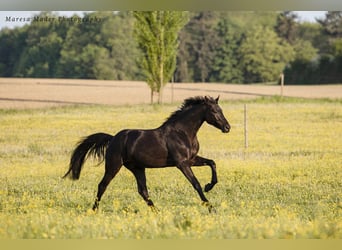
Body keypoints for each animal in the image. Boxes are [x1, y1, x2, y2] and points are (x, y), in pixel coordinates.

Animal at [63, 95, 231, 211]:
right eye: (214, 111)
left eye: (221, 110)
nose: (227, 127)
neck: (182, 132)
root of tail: (112, 139)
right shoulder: (182, 163)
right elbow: (195, 183)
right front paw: (210, 207)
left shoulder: (192, 159)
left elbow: (212, 163)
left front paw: (209, 186)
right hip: (113, 166)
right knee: (102, 185)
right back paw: (94, 209)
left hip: (137, 168)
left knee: (142, 190)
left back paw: (157, 211)